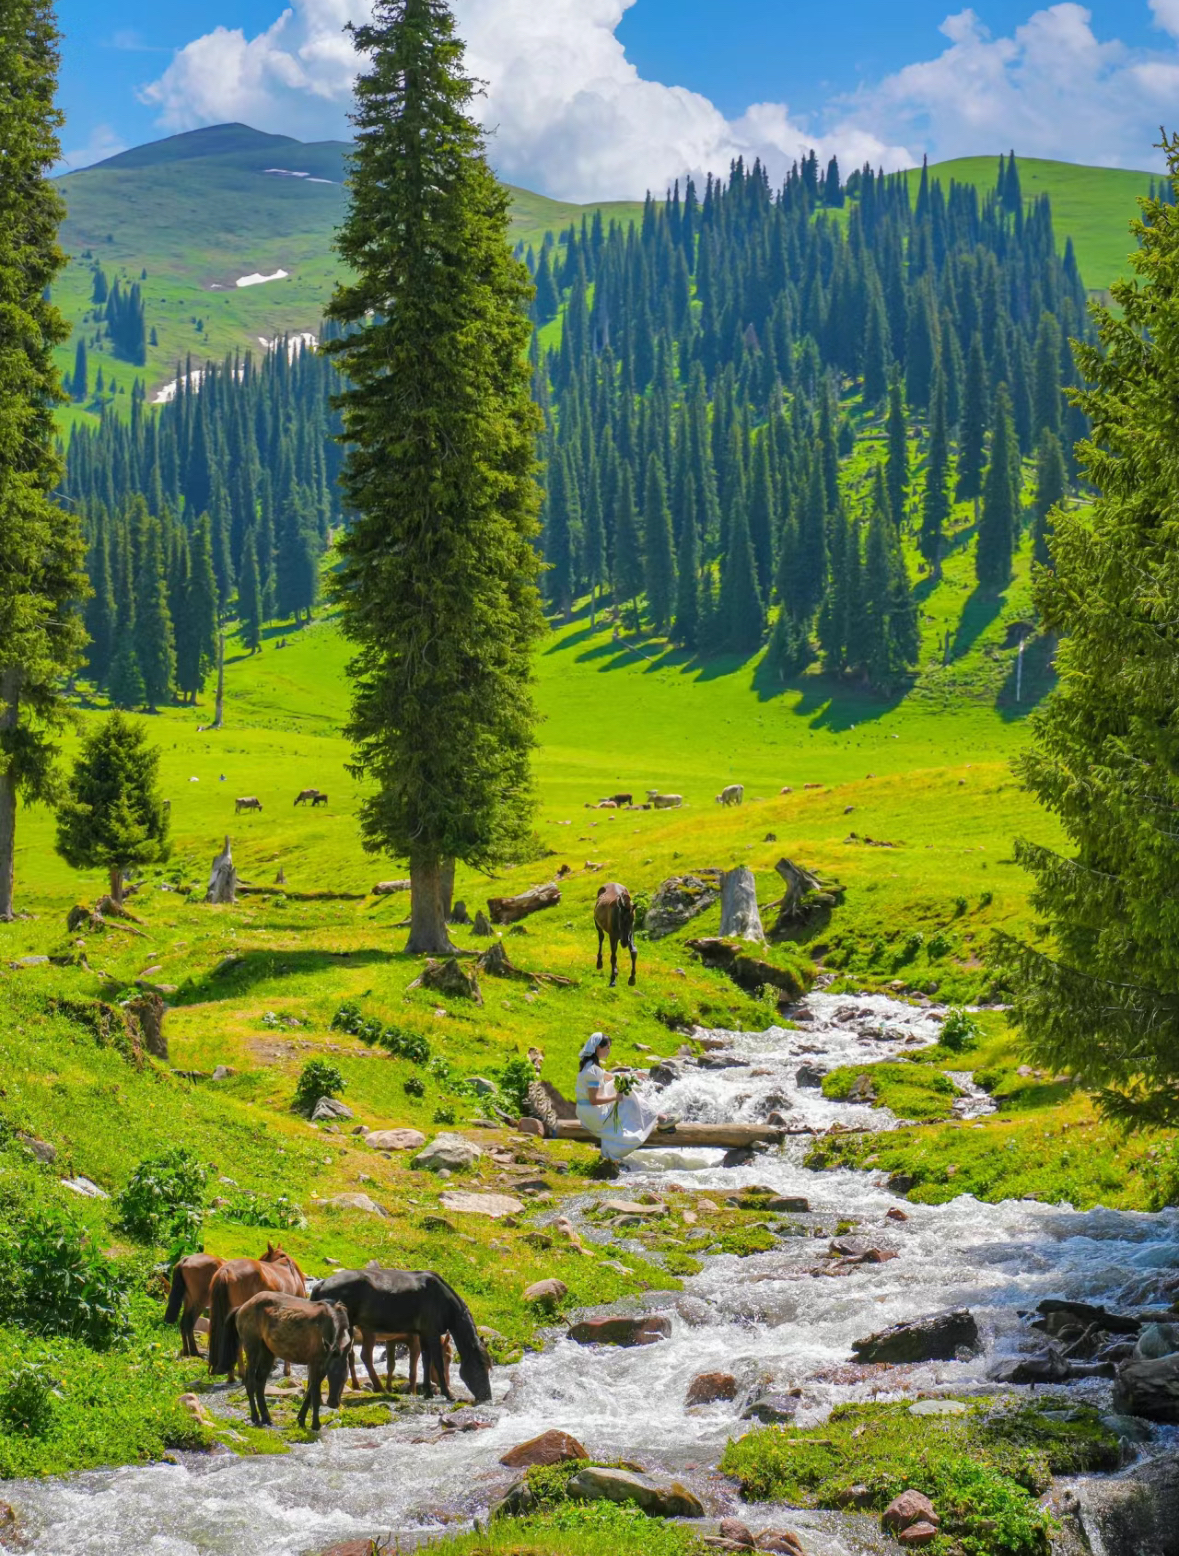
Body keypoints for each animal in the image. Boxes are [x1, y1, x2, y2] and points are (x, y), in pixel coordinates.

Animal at [220, 1288, 351, 1431]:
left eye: (345, 1377)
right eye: (330, 1375)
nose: (333, 1402)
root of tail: (240, 1309)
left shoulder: (320, 1365)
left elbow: (309, 1394)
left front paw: (301, 1420)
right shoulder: (316, 1363)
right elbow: (315, 1396)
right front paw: (315, 1425)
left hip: (268, 1351)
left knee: (260, 1383)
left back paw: (267, 1418)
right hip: (252, 1347)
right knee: (250, 1383)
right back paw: (255, 1417)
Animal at [311, 1269, 491, 1406]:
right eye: (481, 1365)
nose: (487, 1396)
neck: (444, 1301)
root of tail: (322, 1284)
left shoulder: (423, 1334)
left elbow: (426, 1363)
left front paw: (428, 1392)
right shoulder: (432, 1333)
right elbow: (437, 1364)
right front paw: (448, 1394)